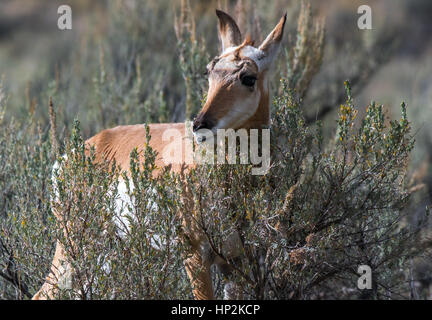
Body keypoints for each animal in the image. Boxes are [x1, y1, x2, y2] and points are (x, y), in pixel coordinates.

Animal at [33, 9, 286, 300]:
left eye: (248, 77)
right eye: (209, 72)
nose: (199, 124)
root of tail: (75, 153)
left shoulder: (235, 261)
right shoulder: (195, 258)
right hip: (75, 248)